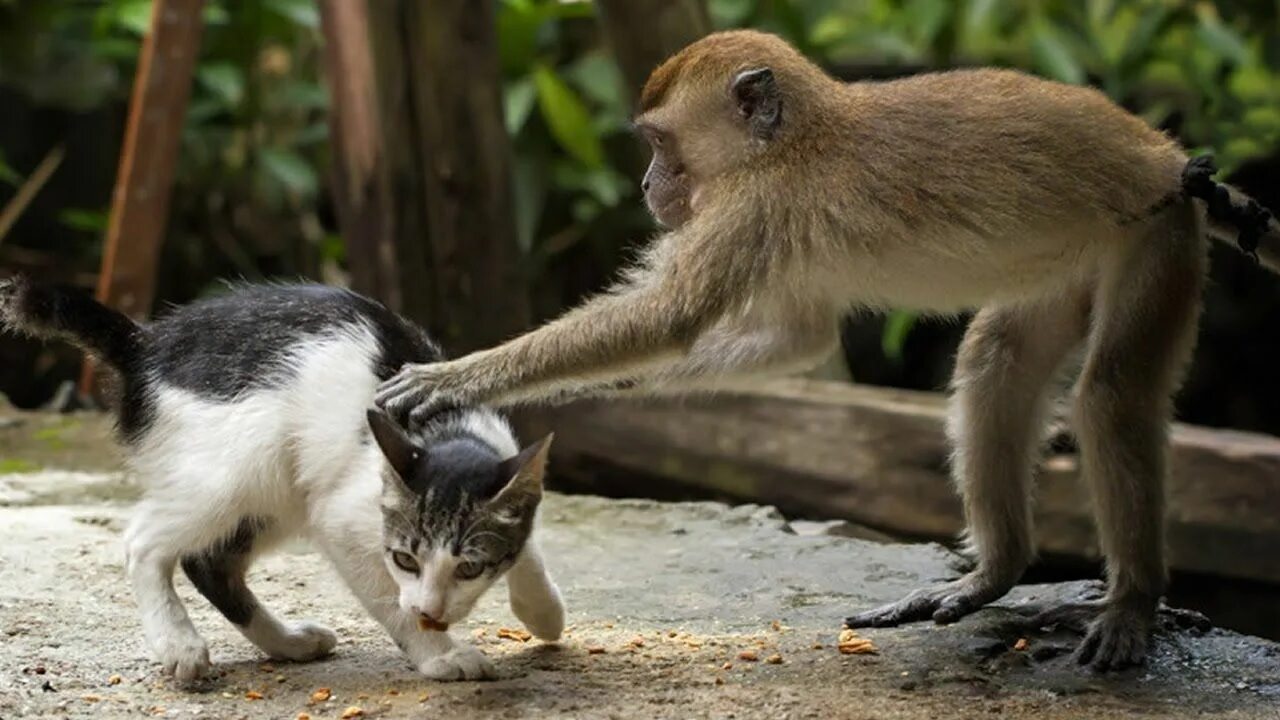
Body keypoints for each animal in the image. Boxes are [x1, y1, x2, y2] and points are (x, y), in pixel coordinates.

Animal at [0, 278, 565, 681]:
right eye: (406, 559)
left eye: (471, 568)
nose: (431, 612)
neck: (442, 428)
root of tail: (147, 344)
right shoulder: (343, 519)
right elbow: (388, 598)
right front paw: (439, 655)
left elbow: (528, 545)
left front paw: (543, 611)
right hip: (242, 463)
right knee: (144, 542)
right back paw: (178, 641)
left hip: (280, 493)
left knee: (210, 564)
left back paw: (288, 643)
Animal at [373, 28, 1274, 666]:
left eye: (660, 145)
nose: (648, 185)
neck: (792, 139)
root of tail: (1160, 155)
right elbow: (796, 341)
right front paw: (606, 394)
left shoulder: (754, 205)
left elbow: (668, 319)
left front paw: (463, 377)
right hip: (1079, 256)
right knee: (997, 365)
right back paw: (999, 570)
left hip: (1156, 235)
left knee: (1113, 395)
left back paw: (1131, 602)